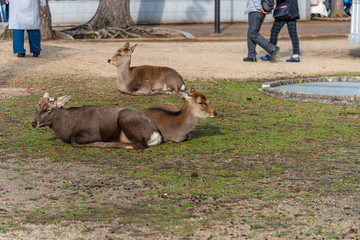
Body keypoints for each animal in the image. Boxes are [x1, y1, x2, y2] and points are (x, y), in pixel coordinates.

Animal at [32, 93, 162, 149]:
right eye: (37, 107)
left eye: (48, 109)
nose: (34, 123)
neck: (67, 128)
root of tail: (156, 134)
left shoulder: (93, 133)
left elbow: (74, 141)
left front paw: (99, 143)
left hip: (125, 118)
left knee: (138, 145)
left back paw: (108, 144)